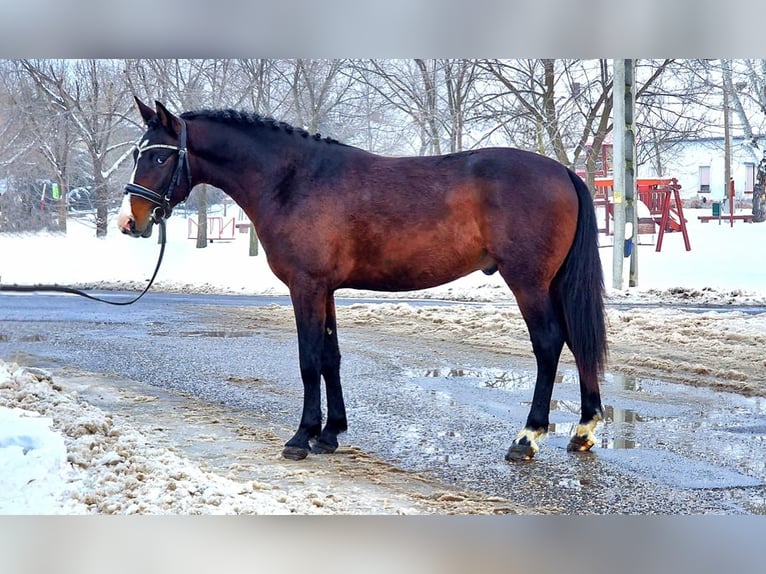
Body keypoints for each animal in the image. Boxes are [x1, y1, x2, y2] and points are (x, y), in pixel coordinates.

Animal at [119, 98, 608, 462]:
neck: (293, 180)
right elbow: (330, 357)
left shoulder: (306, 287)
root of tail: (563, 170)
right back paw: (583, 431)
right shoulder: (326, 290)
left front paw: (301, 437)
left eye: (159, 155)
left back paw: (527, 438)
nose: (129, 221)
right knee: (578, 340)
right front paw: (330, 433)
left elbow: (309, 359)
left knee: (549, 343)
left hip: (528, 282)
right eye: (137, 153)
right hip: (555, 283)